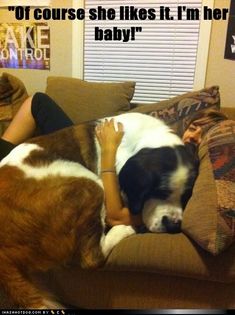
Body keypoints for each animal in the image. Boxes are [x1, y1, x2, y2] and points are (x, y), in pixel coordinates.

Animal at [0, 113, 196, 308]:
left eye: (187, 196)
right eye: (160, 192)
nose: (173, 226)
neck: (146, 139)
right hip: (91, 183)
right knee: (91, 258)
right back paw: (123, 230)